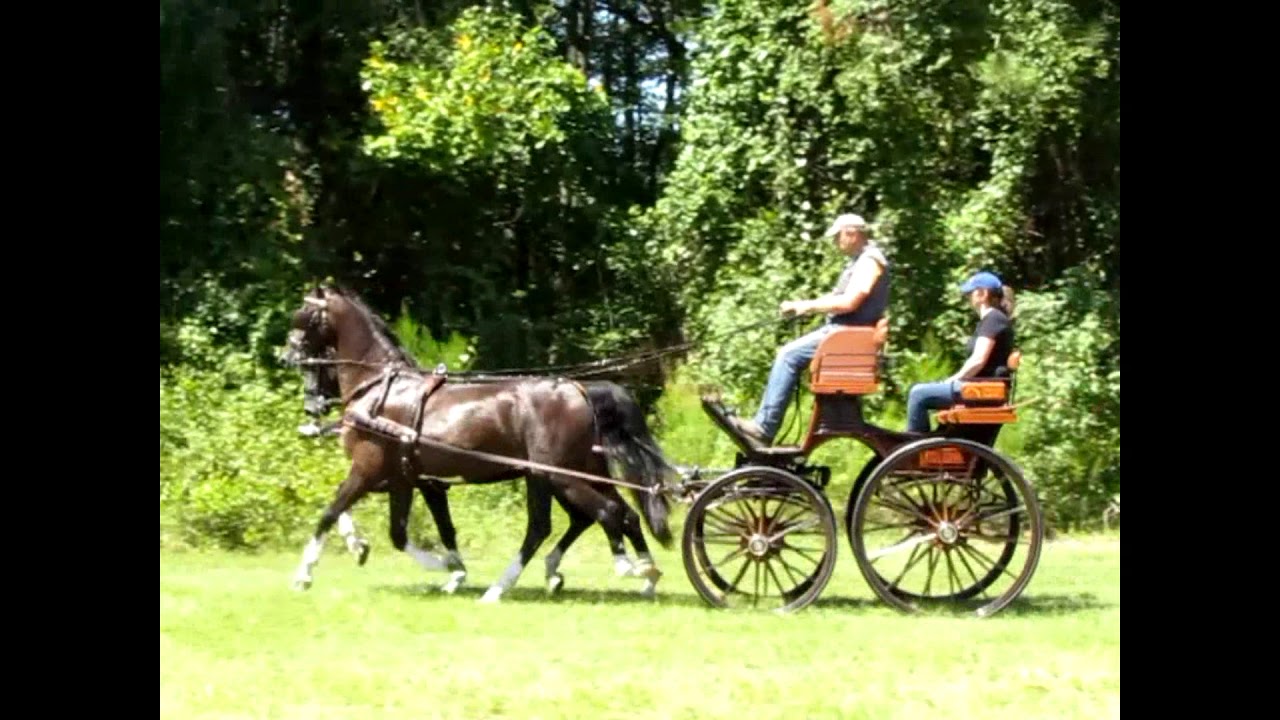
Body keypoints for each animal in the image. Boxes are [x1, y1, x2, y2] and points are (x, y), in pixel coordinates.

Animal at [284, 283, 675, 597]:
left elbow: (330, 511)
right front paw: (447, 569)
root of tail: (578, 389)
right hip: (564, 473)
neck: (381, 389)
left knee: (603, 513)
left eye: (303, 314)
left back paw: (624, 567)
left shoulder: (369, 469)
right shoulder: (405, 479)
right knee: (603, 517)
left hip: (559, 475)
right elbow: (403, 530)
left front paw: (304, 573)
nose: (288, 353)